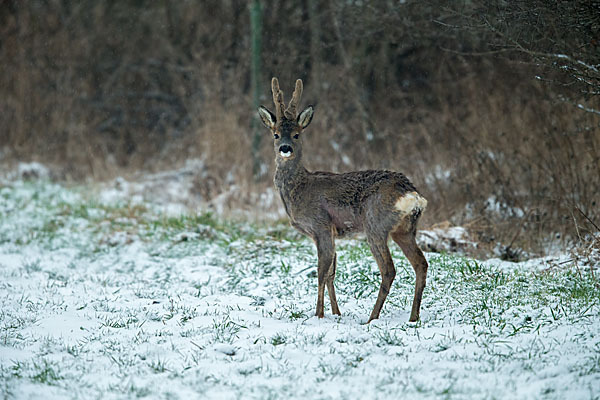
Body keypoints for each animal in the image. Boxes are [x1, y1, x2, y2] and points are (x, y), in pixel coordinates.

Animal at [258, 78, 432, 322]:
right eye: (275, 134)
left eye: (297, 134)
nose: (285, 148)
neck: (299, 190)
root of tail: (411, 194)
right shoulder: (329, 233)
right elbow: (332, 272)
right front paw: (336, 313)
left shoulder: (321, 225)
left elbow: (321, 272)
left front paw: (319, 314)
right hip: (405, 230)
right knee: (420, 263)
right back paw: (413, 317)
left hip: (375, 225)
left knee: (389, 269)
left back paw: (372, 318)